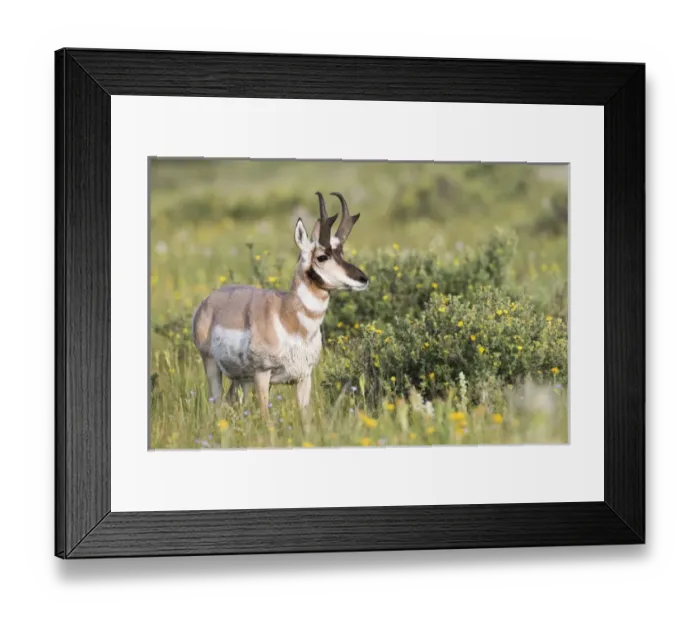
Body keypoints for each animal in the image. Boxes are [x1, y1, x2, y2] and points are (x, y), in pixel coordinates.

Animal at [191, 191, 369, 426]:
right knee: (218, 405)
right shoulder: (262, 374)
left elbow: (305, 419)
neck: (289, 318)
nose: (363, 279)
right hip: (212, 366)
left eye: (342, 253)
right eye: (322, 256)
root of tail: (207, 301)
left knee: (233, 401)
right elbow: (266, 420)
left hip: (241, 379)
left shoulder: (303, 377)